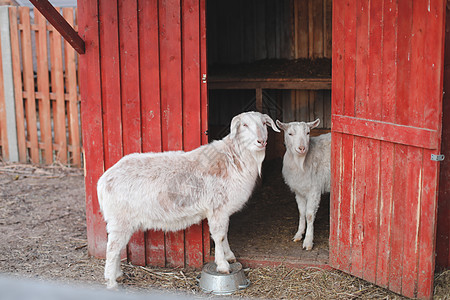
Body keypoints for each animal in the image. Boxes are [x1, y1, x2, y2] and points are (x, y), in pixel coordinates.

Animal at [97, 110, 280, 288]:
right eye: (244, 125)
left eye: (264, 123)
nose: (261, 141)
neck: (233, 158)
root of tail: (103, 180)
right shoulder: (217, 208)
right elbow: (219, 236)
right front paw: (223, 265)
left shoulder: (223, 210)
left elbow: (225, 234)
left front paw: (229, 256)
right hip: (120, 219)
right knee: (112, 248)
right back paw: (111, 281)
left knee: (116, 247)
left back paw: (118, 275)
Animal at [274, 119, 330, 251]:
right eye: (290, 134)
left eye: (308, 133)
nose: (302, 148)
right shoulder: (298, 190)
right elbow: (301, 211)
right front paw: (299, 234)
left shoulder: (314, 189)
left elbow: (309, 215)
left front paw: (308, 241)